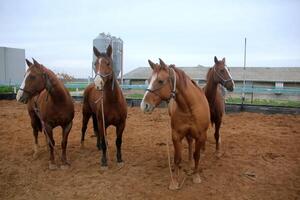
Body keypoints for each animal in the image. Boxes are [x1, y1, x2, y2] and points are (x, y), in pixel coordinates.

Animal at [141, 58, 210, 191]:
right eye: (148, 79)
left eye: (160, 81)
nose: (144, 105)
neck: (190, 107)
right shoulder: (176, 135)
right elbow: (177, 158)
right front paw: (174, 182)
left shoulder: (200, 136)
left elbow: (197, 155)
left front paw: (196, 176)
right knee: (189, 144)